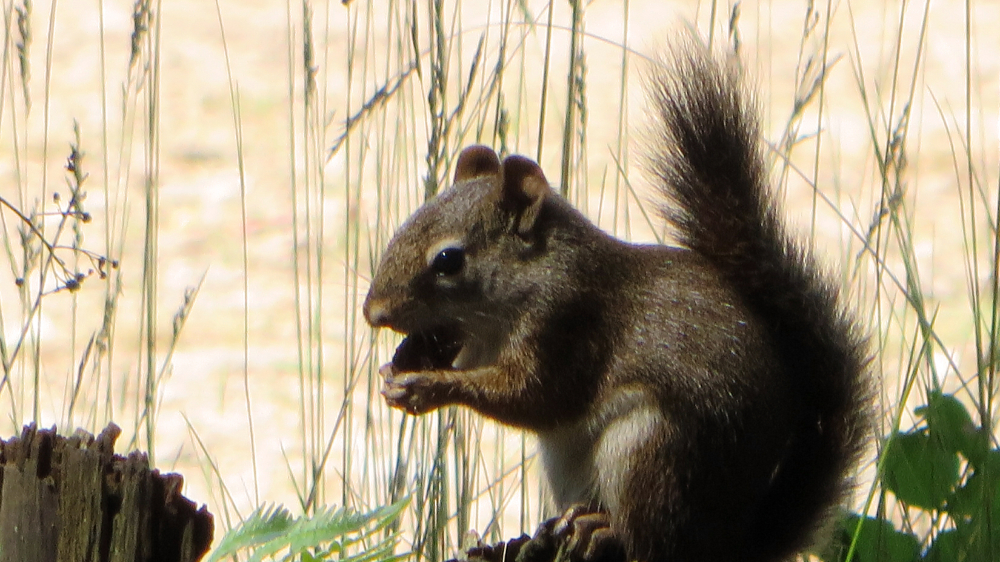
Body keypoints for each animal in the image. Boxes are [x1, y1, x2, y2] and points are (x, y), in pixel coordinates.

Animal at [363, 41, 871, 562]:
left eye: (448, 260)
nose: (373, 312)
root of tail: (730, 543)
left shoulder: (568, 323)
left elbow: (534, 397)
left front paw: (428, 386)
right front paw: (401, 364)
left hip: (650, 449)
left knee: (650, 538)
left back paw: (603, 529)